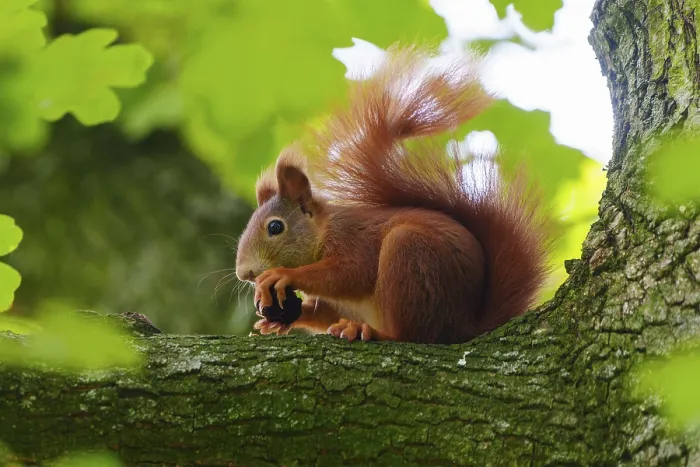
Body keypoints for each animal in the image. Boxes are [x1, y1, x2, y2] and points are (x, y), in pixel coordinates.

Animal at [235, 45, 551, 345]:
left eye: (275, 227)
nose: (244, 273)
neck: (324, 229)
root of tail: (465, 327)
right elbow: (325, 309)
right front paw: (279, 318)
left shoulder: (354, 239)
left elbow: (350, 273)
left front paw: (284, 275)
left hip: (411, 257)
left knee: (414, 335)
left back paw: (375, 333)